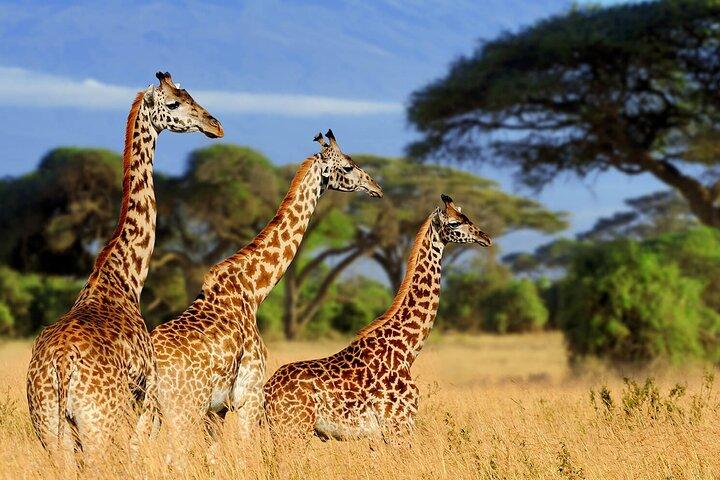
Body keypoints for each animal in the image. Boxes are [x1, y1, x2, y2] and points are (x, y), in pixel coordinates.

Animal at [26, 72, 224, 461]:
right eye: (174, 102)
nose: (215, 126)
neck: (125, 276)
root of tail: (60, 365)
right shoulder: (146, 393)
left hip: (48, 428)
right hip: (99, 424)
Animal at [150, 130, 383, 446]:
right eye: (347, 167)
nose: (376, 188)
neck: (253, 290)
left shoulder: (218, 409)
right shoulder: (249, 395)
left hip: (149, 411)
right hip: (184, 408)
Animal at [263, 194, 492, 440]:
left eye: (466, 216)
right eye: (454, 223)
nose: (485, 238)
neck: (406, 350)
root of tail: (266, 392)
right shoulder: (399, 426)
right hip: (293, 429)